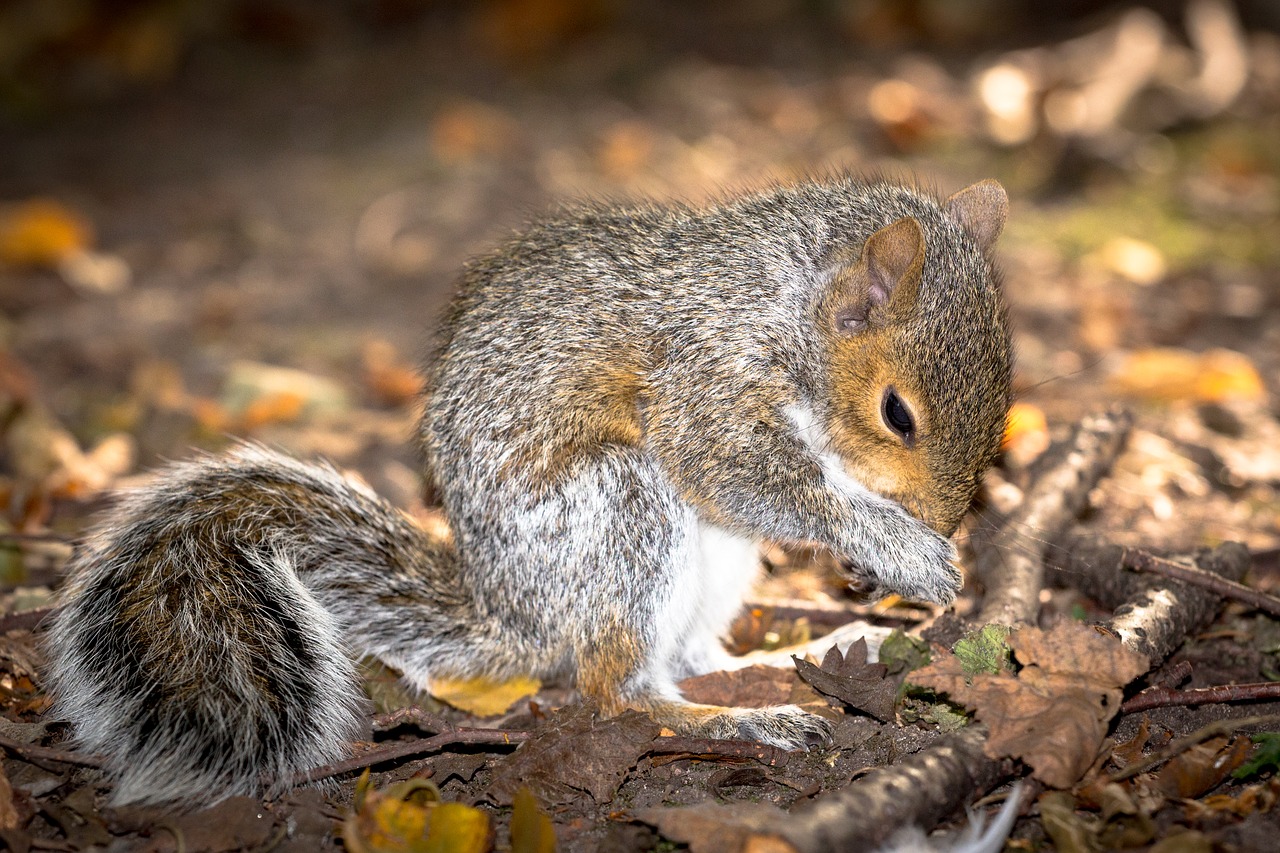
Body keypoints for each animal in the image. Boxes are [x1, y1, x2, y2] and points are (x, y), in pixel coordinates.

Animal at [45, 174, 1013, 804]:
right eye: (897, 412)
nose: (941, 517)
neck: (783, 309)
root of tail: (514, 611)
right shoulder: (704, 383)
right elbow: (741, 473)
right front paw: (901, 548)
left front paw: (875, 570)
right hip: (621, 509)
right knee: (618, 689)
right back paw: (739, 722)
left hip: (711, 563)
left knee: (691, 656)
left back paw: (794, 657)